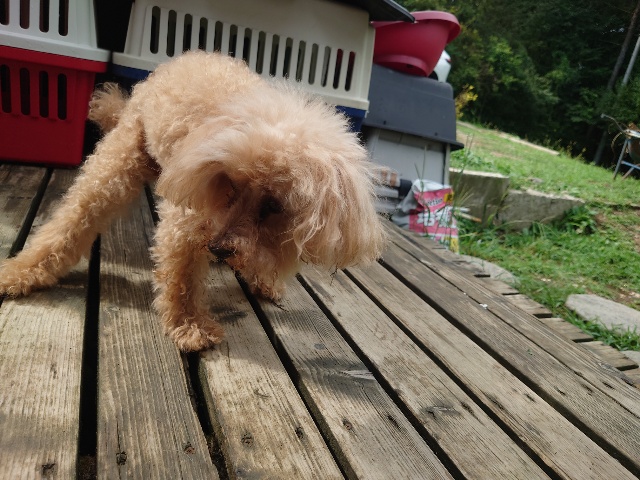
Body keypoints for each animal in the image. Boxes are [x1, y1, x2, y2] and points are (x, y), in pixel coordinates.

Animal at [0, 51, 385, 351]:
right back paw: (21, 271)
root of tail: (188, 56)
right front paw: (191, 326)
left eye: (275, 205)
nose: (217, 248)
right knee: (76, 214)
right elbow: (182, 273)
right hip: (120, 158)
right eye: (231, 183)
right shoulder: (187, 216)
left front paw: (263, 279)